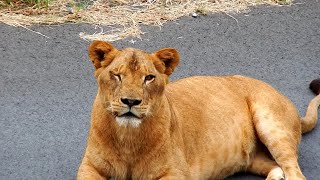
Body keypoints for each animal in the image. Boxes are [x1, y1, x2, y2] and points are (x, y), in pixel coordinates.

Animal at [77, 40, 320, 180]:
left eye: (149, 78)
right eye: (117, 75)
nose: (130, 101)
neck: (127, 137)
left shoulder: (176, 173)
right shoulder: (90, 166)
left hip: (271, 124)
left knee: (294, 172)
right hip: (251, 158)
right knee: (276, 168)